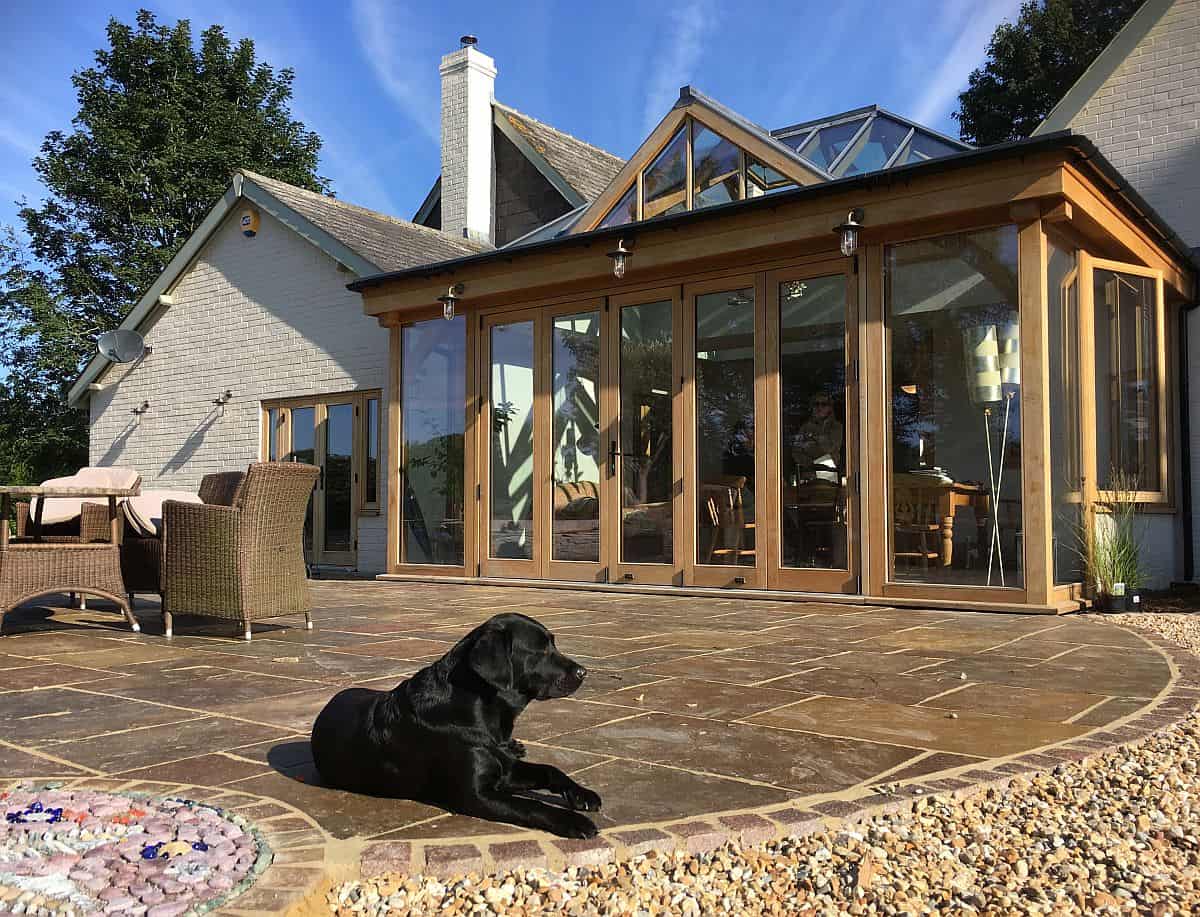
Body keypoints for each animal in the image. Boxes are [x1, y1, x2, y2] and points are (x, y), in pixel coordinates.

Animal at [312, 609, 600, 840]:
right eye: (540, 650)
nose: (583, 672)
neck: (480, 709)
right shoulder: (477, 795)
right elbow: (532, 805)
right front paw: (574, 821)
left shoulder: (507, 769)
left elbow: (551, 770)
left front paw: (582, 795)